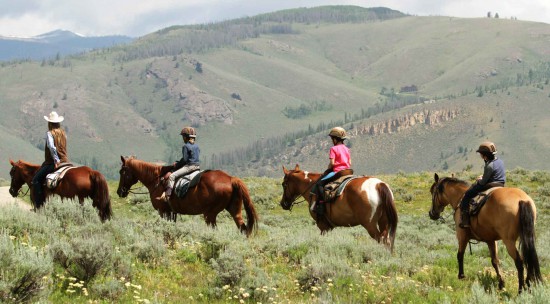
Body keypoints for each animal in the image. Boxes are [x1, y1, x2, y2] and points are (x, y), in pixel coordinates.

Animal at [115, 156, 260, 236]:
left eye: (122, 171)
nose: (119, 192)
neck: (157, 180)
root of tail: (230, 179)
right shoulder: (170, 212)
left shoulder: (163, 211)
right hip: (234, 210)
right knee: (243, 228)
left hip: (210, 214)